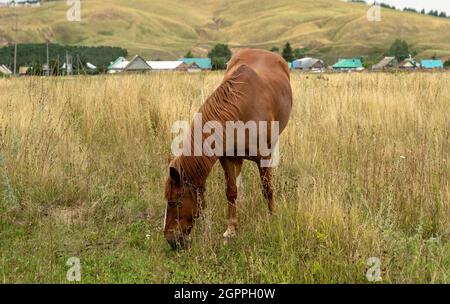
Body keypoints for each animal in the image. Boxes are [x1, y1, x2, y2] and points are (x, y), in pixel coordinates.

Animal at [162, 48, 292, 249]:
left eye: (175, 202)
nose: (170, 240)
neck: (241, 109)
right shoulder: (227, 158)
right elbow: (231, 192)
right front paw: (231, 229)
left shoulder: (263, 157)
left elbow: (267, 188)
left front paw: (273, 217)